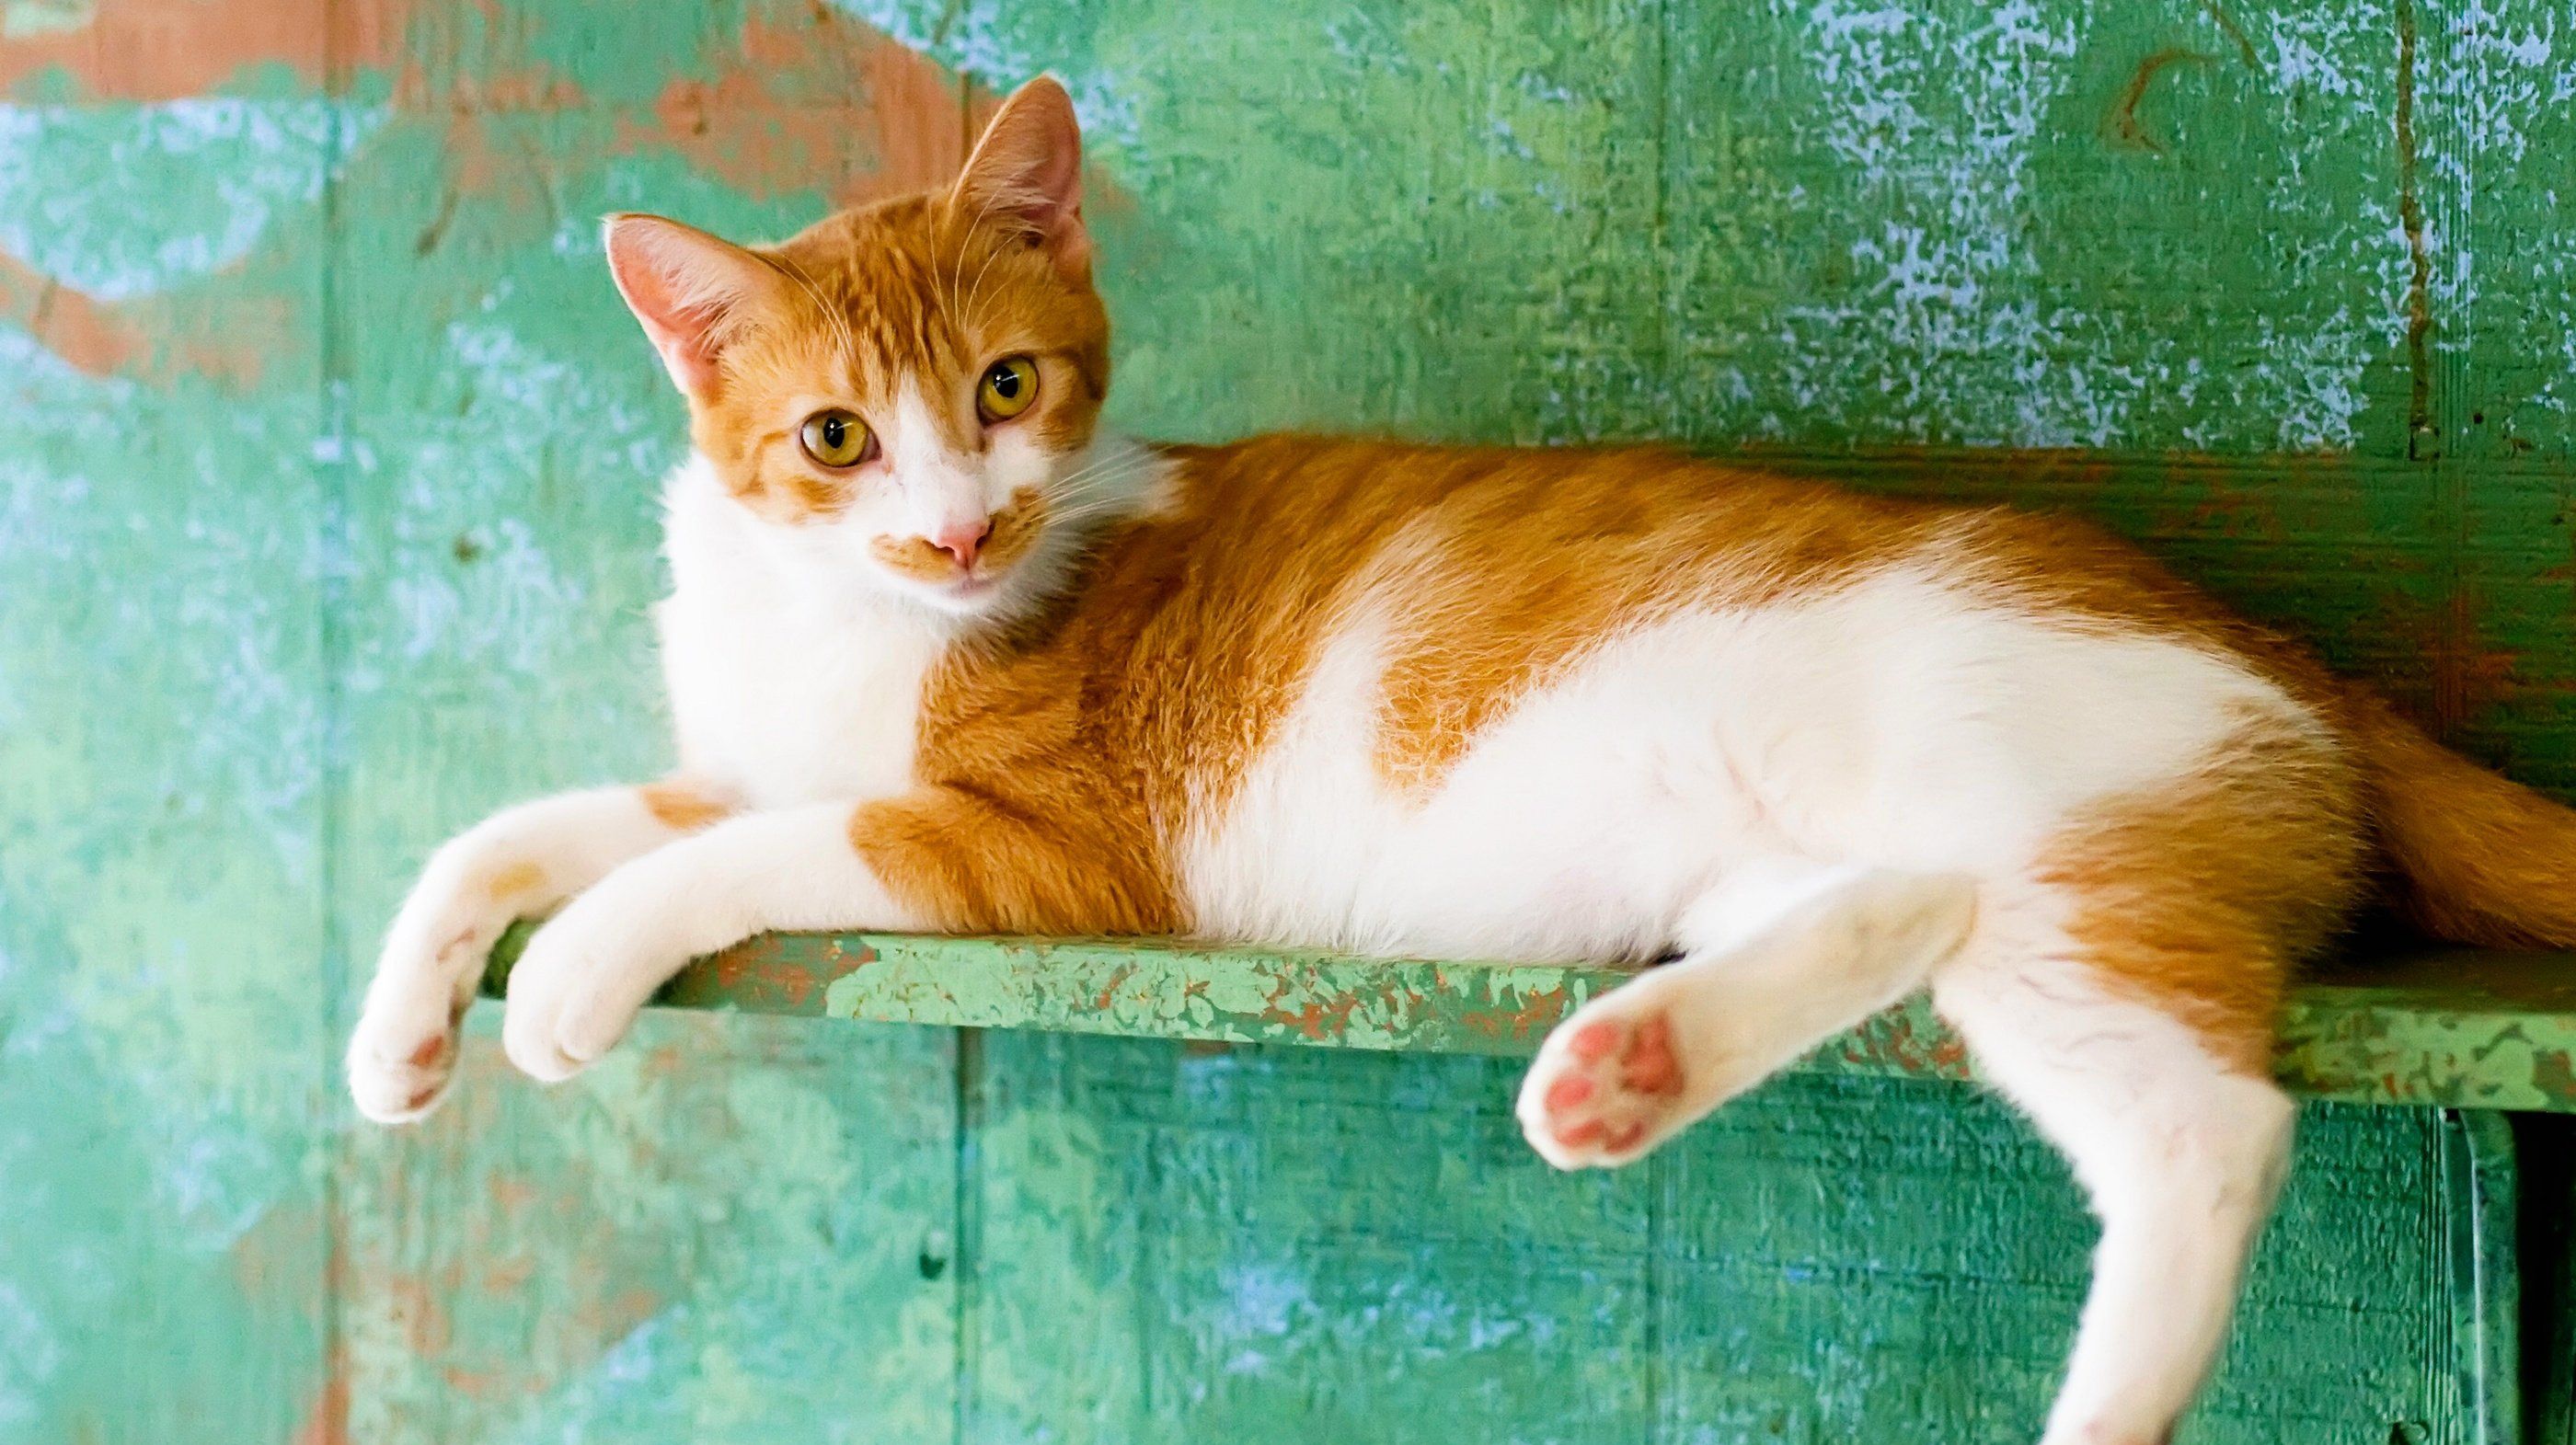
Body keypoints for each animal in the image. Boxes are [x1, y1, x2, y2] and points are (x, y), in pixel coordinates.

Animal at [352, 78, 2576, 1442]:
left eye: (1002, 389)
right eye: (832, 439)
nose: (963, 529)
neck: (849, 620)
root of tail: (2277, 648)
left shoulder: (1030, 850)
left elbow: (713, 858)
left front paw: (568, 977)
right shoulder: (743, 760)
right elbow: (533, 819)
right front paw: (401, 1027)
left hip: (2054, 823)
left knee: (2205, 1126)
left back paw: (2096, 1401)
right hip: (1876, 866)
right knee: (1912, 918)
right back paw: (1632, 1064)